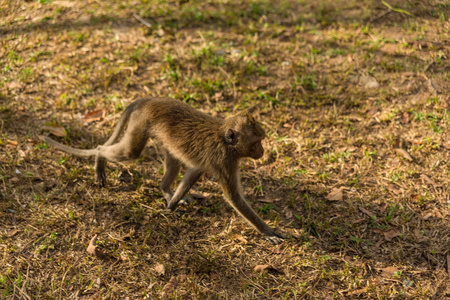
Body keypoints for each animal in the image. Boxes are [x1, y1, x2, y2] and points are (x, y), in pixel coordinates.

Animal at [39, 97, 284, 245]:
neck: (226, 140)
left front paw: (172, 204)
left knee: (173, 162)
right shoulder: (226, 161)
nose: (262, 151)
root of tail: (149, 100)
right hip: (140, 124)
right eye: (256, 143)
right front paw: (267, 231)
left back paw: (165, 190)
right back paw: (100, 160)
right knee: (130, 151)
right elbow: (233, 197)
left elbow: (194, 170)